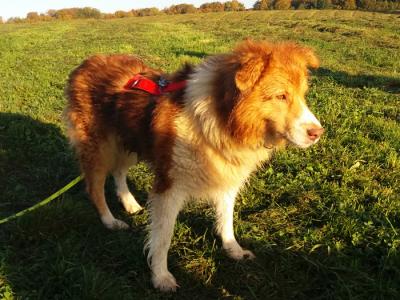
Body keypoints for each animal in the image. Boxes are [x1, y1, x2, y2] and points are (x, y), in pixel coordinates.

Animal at [64, 39, 324, 290]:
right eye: (280, 96)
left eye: (303, 94)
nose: (317, 133)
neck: (222, 119)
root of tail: (86, 63)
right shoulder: (169, 186)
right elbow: (163, 237)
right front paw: (161, 277)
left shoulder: (226, 178)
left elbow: (226, 219)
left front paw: (234, 250)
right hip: (100, 148)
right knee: (94, 187)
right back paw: (110, 221)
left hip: (129, 140)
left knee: (118, 171)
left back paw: (130, 204)